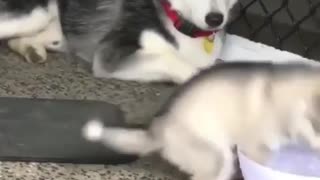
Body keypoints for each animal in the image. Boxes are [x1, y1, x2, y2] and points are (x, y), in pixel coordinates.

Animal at [0, 0, 238, 83]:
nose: (215, 19)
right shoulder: (111, 54)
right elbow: (172, 60)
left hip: (58, 30)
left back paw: (31, 48)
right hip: (35, 14)